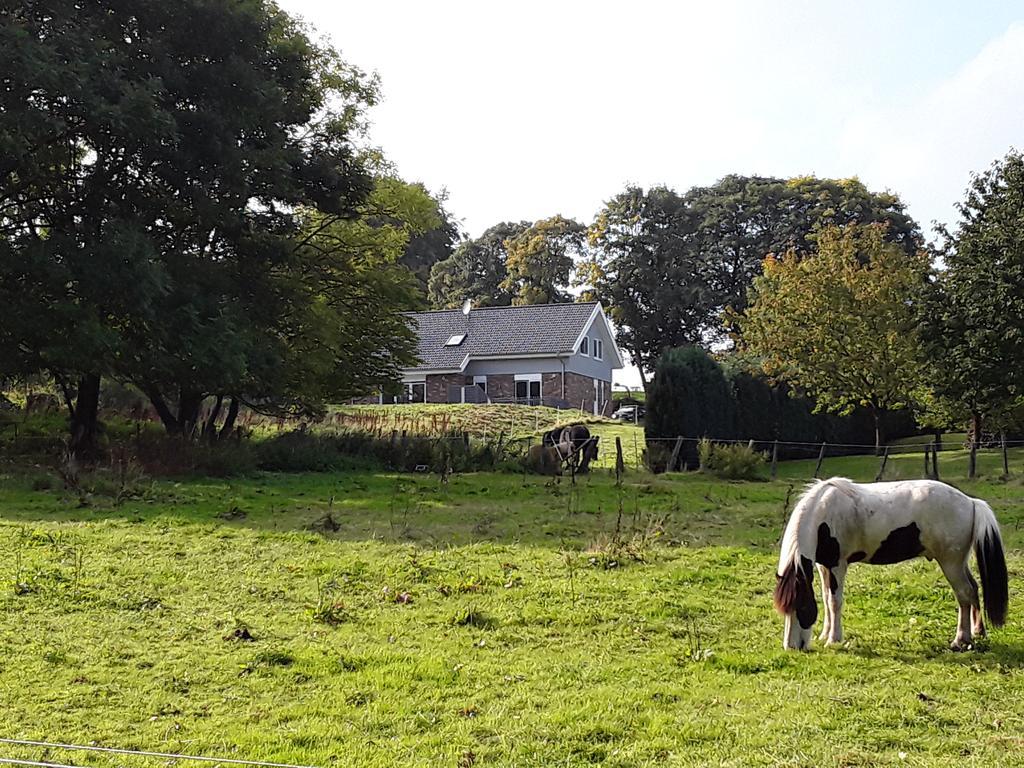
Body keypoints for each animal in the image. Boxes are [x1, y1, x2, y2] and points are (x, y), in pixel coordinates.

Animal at [774, 479, 1007, 651]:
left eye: (802, 607)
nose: (791, 647)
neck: (823, 513)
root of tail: (970, 502)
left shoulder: (837, 566)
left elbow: (834, 602)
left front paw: (834, 639)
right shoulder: (824, 565)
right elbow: (825, 597)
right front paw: (824, 635)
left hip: (950, 563)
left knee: (964, 594)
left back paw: (961, 640)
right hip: (959, 563)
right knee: (974, 588)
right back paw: (978, 632)